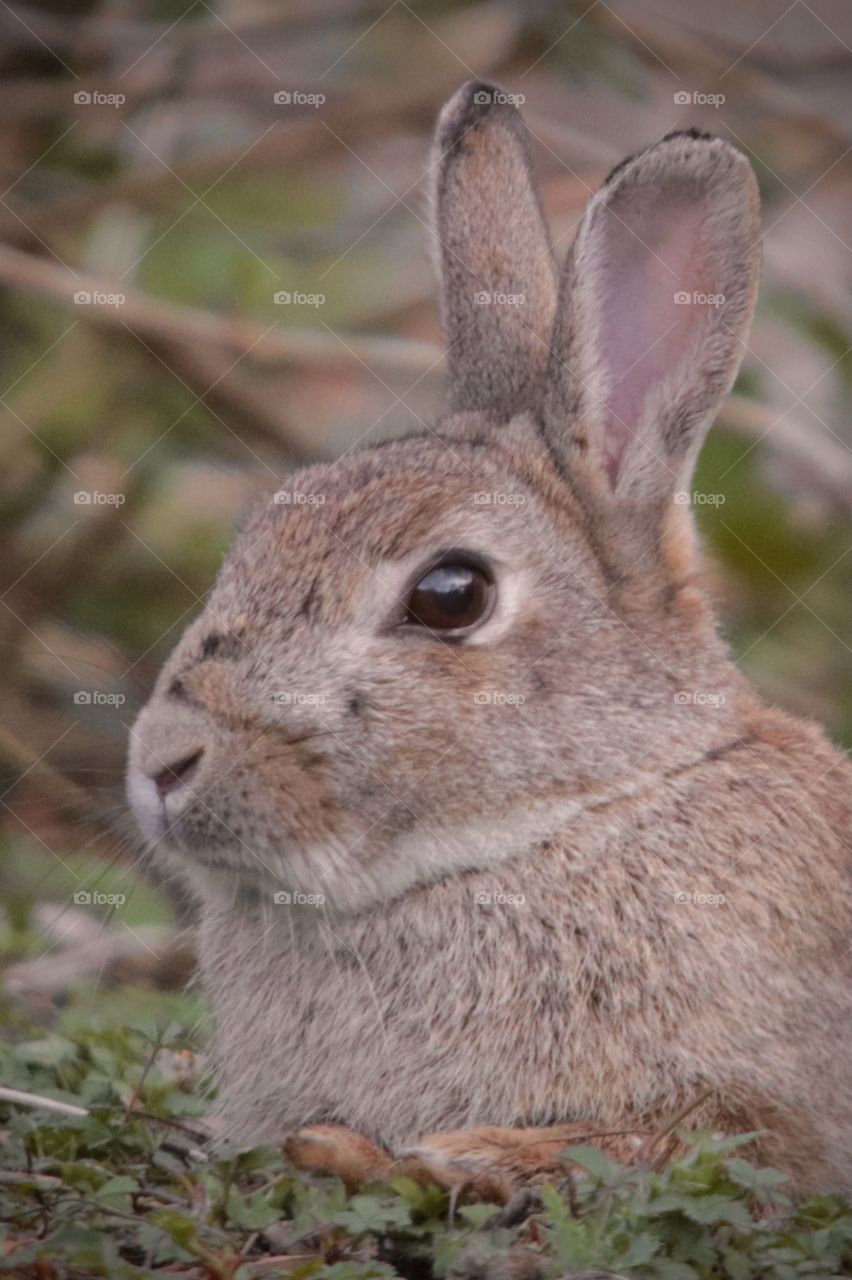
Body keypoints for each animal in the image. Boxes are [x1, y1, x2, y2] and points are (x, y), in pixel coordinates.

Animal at [127, 79, 852, 1199]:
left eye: (450, 596)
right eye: (252, 540)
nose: (162, 761)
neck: (577, 814)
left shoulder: (773, 1121)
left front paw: (461, 1153)